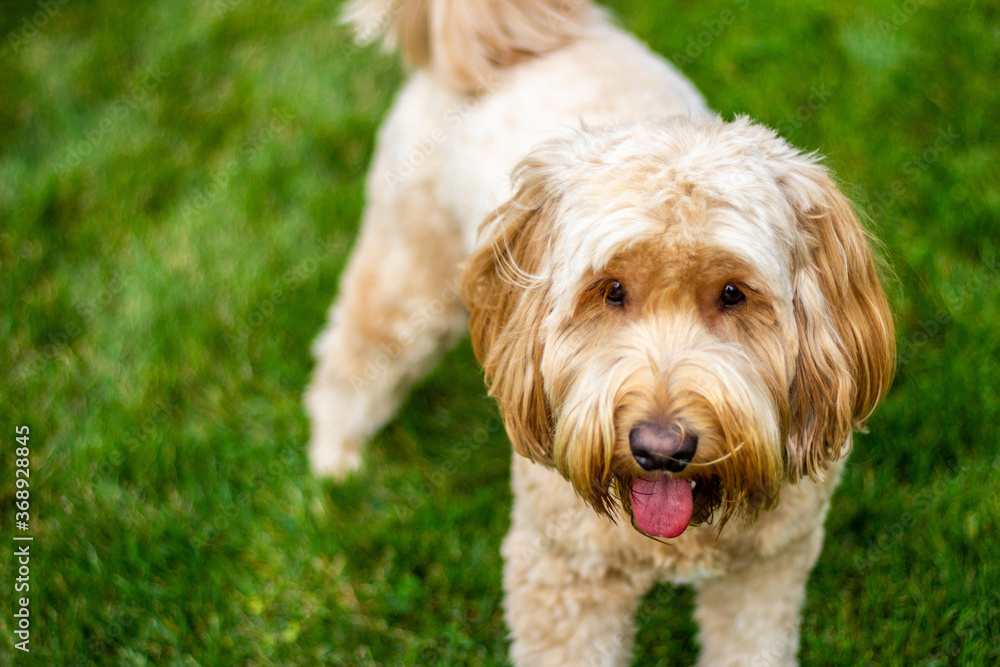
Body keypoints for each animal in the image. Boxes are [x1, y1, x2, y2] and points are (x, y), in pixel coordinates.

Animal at [306, 2, 900, 664]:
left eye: (733, 293)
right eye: (611, 290)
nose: (661, 450)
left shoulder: (766, 572)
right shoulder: (563, 579)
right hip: (409, 274)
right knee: (354, 355)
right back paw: (335, 461)